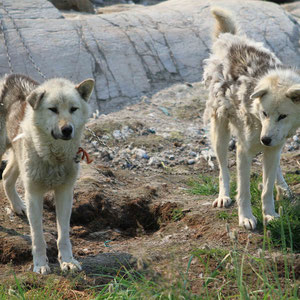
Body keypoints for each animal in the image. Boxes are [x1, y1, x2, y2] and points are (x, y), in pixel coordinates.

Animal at [0, 74, 94, 274]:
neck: (55, 156)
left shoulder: (65, 193)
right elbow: (38, 237)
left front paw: (67, 261)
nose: (67, 129)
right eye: (53, 110)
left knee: (6, 177)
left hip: (19, 156)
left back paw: (18, 205)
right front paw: (40, 264)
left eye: (73, 109)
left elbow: (63, 234)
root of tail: (9, 77)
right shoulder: (34, 194)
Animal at [203, 8, 300, 230]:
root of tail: (229, 38)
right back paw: (223, 196)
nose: (265, 139)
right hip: (220, 135)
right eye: (264, 113)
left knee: (275, 169)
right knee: (223, 170)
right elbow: (244, 191)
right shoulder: (243, 152)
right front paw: (246, 218)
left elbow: (266, 189)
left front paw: (270, 215)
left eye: (283, 116)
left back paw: (283, 188)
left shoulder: (274, 147)